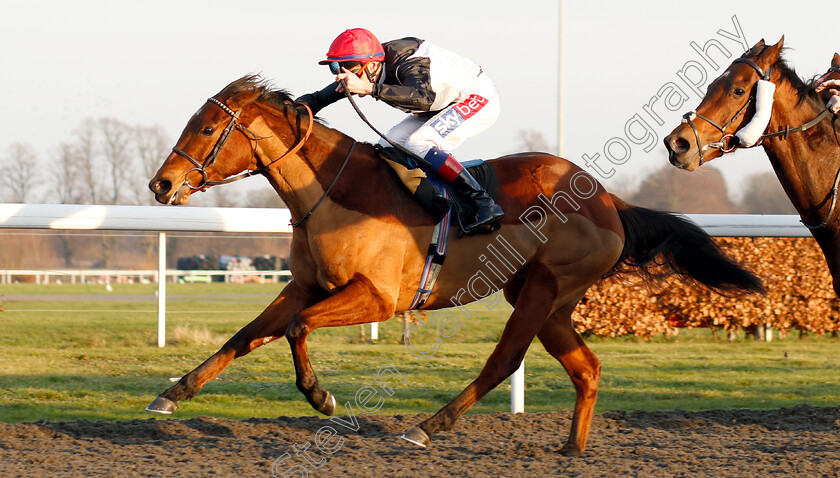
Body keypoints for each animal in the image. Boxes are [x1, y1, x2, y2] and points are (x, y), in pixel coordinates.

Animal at [148, 74, 764, 456]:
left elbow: (296, 329)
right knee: (585, 367)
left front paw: (321, 397)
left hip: (544, 287)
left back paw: (428, 427)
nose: (162, 185)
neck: (332, 189)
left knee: (505, 360)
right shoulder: (304, 285)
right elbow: (245, 336)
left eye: (208, 128)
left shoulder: (377, 297)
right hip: (547, 299)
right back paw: (572, 447)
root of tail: (609, 200)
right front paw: (172, 394)